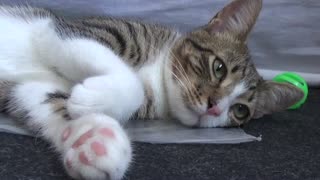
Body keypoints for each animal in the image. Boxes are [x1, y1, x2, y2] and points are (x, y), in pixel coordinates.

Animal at [0, 0, 302, 179]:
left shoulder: (32, 85)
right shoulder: (71, 30)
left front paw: (94, 139)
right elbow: (127, 81)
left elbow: (46, 99)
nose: (215, 107)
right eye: (219, 68)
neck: (157, 78)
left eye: (240, 110)